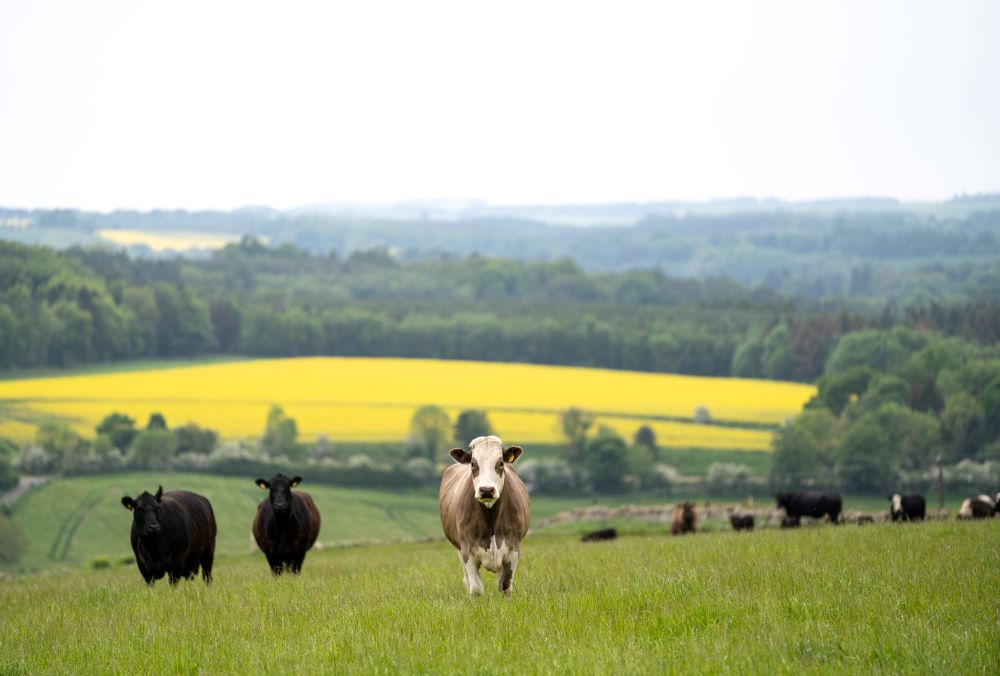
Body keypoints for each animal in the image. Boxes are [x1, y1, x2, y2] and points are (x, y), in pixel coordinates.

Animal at [439, 436, 530, 596]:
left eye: (500, 463)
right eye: (473, 463)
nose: (486, 490)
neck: (490, 516)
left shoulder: (513, 548)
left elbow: (505, 586)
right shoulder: (467, 550)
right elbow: (476, 589)